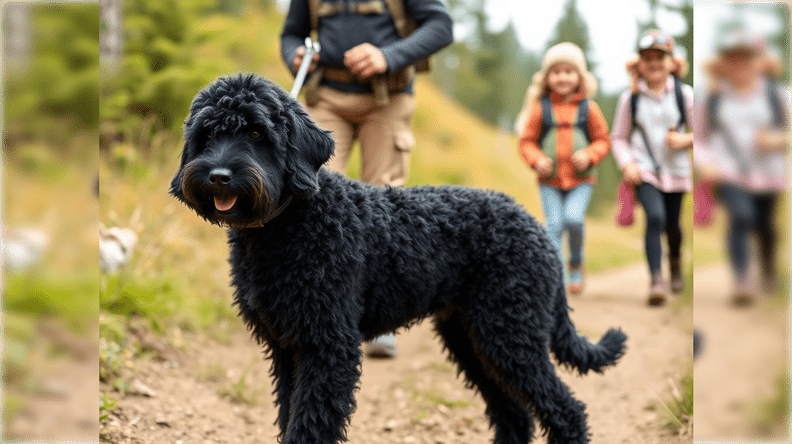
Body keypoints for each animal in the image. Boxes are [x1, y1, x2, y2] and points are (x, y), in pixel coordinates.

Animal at [170, 73, 628, 444]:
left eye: (257, 133)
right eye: (207, 134)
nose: (218, 176)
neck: (291, 226)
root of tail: (537, 228)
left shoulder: (328, 345)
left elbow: (311, 423)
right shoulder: (286, 347)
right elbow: (289, 415)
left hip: (511, 333)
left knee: (566, 410)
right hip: (473, 337)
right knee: (515, 415)